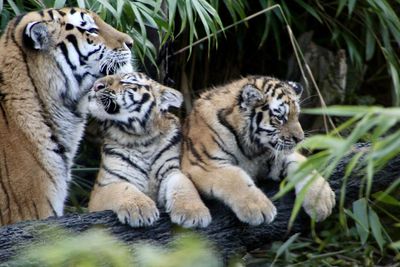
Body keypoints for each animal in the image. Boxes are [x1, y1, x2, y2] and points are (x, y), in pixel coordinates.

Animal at [81, 73, 212, 228]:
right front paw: (140, 209)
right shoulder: (103, 187)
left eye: (124, 82)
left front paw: (193, 212)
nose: (96, 85)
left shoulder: (171, 170)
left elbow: (183, 183)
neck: (141, 138)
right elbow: (123, 187)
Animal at [183, 76, 336, 226]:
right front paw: (259, 208)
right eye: (280, 118)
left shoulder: (276, 157)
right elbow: (235, 178)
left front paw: (322, 201)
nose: (300, 138)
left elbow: (304, 166)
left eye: (297, 115)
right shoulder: (205, 164)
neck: (252, 148)